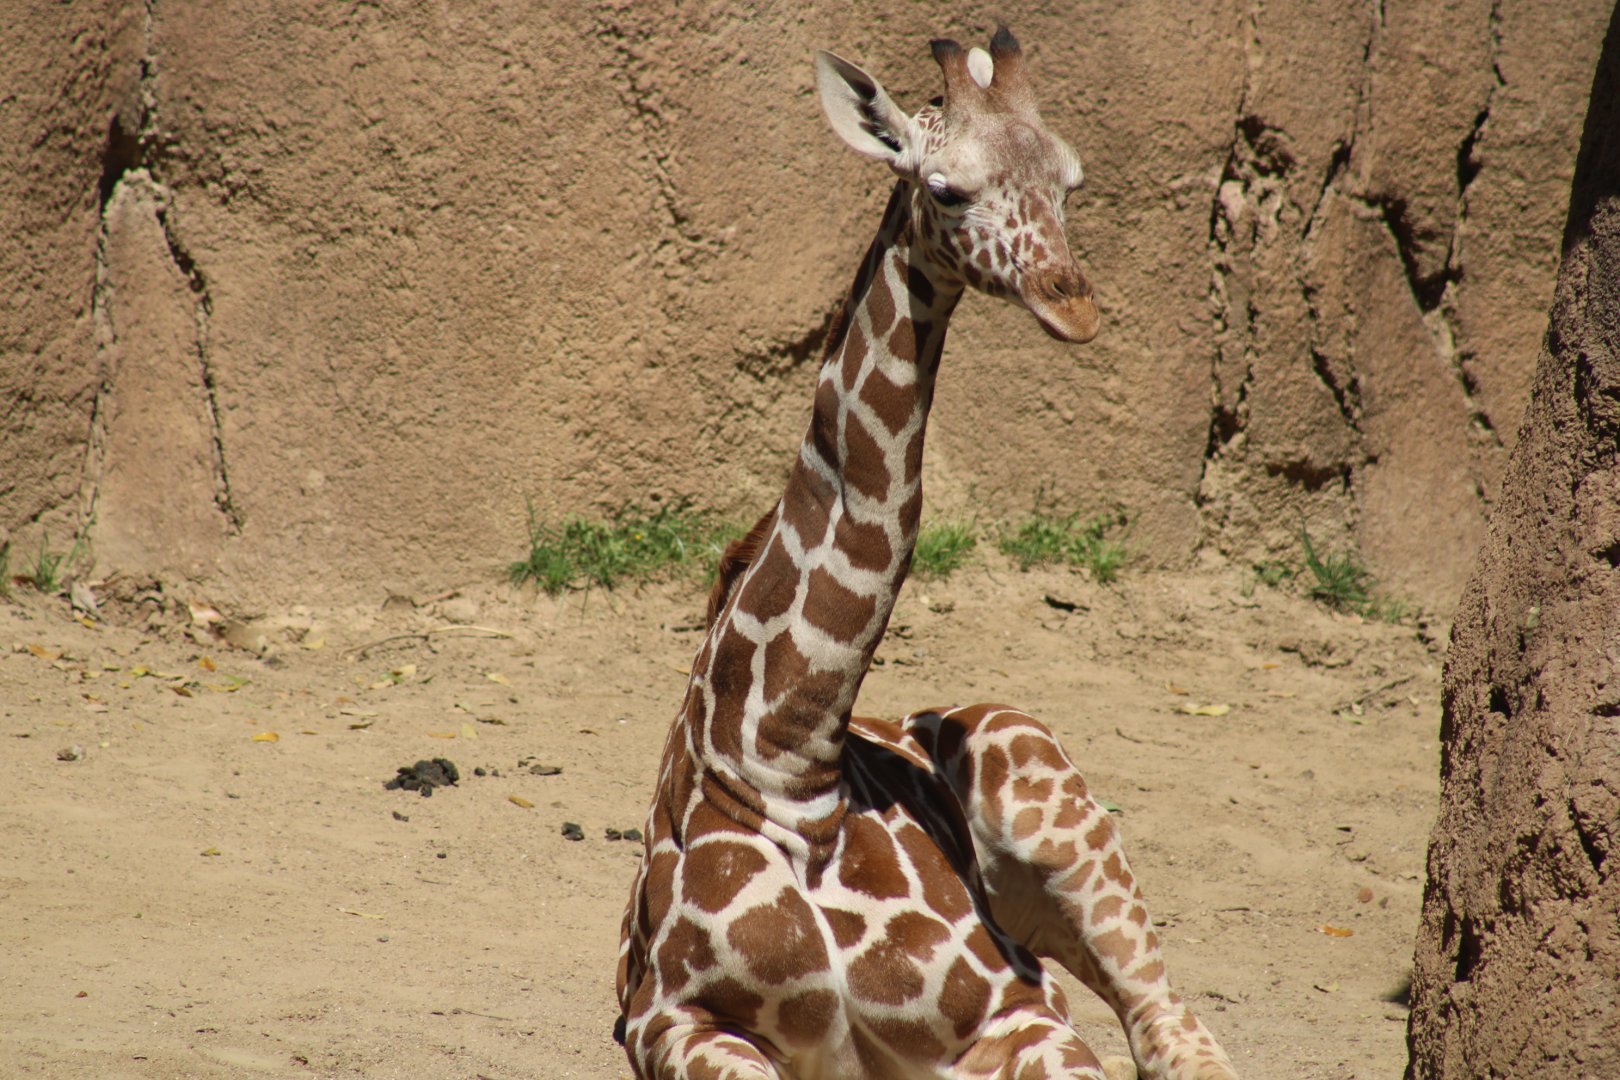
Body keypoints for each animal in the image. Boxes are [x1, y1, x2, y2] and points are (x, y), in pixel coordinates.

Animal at [615, 29, 1239, 1080]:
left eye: (1070, 180)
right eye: (946, 188)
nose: (1074, 304)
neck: (788, 767)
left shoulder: (1014, 1007)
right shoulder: (671, 1019)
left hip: (1051, 802)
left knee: (1174, 1027)